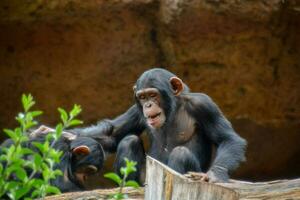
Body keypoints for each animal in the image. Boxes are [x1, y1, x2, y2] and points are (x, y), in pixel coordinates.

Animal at [72, 68, 246, 183]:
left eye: (153, 95)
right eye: (142, 97)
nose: (148, 105)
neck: (172, 110)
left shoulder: (204, 105)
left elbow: (228, 139)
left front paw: (213, 175)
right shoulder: (136, 110)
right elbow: (112, 135)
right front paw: (68, 137)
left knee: (181, 153)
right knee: (129, 141)